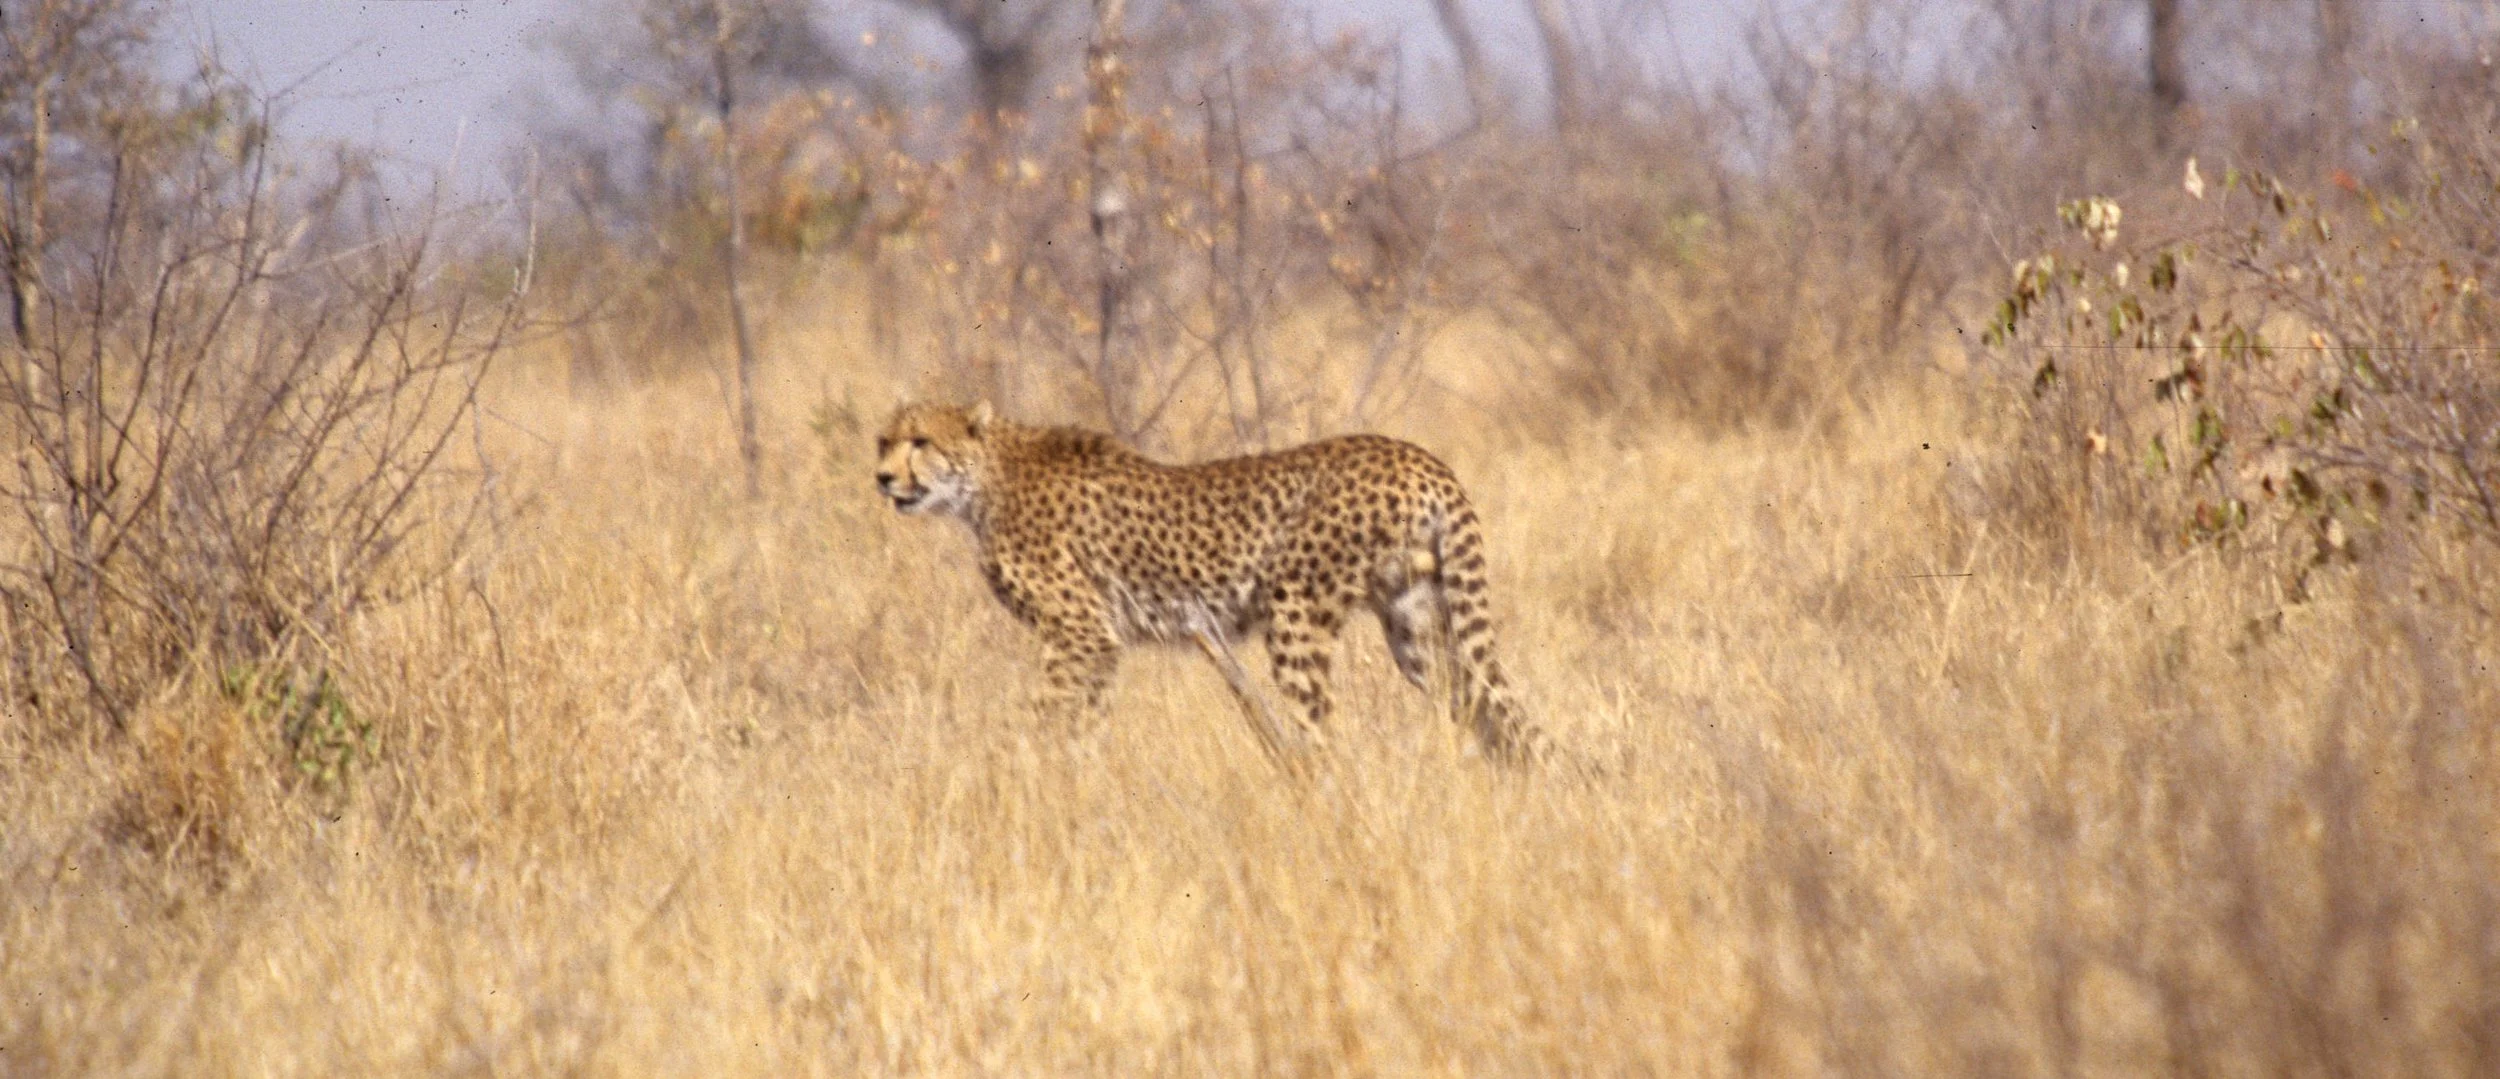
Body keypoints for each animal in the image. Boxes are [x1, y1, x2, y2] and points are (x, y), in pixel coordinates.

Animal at [873, 400, 1544, 766]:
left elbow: (1046, 719)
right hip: (1417, 626)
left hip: (1297, 614)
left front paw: (1022, 777)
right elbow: (1085, 725)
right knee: (1483, 705)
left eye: (920, 441)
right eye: (885, 441)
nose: (882, 477)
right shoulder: (1098, 644)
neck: (984, 480)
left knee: (1321, 734)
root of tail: (1418, 454)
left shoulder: (1080, 633)